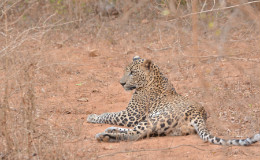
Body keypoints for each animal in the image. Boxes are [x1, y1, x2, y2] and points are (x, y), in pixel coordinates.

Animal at [87, 55, 260, 146]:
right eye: (125, 71)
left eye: (132, 73)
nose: (121, 83)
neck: (154, 76)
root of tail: (200, 113)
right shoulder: (132, 115)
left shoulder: (131, 115)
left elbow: (109, 114)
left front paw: (93, 116)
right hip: (159, 124)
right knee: (138, 132)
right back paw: (109, 131)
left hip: (157, 119)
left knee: (134, 134)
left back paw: (105, 136)